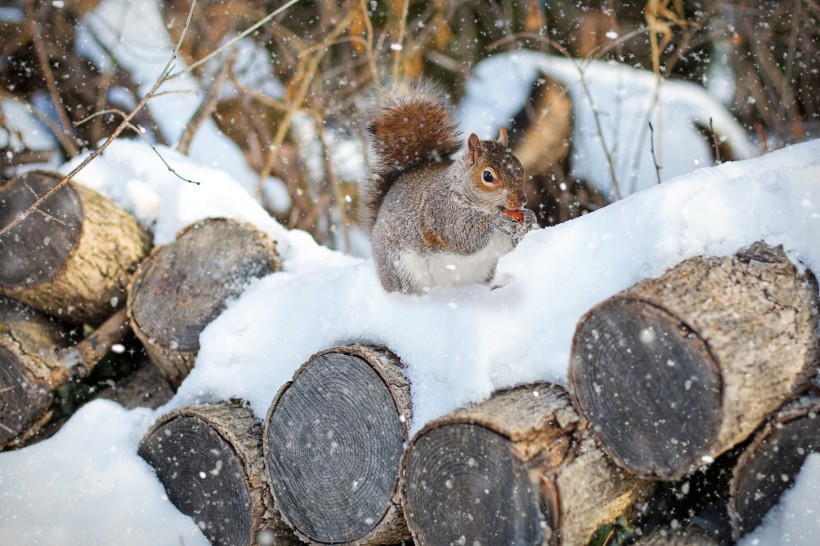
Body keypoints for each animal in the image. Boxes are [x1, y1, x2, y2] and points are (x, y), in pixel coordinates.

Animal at [366, 82, 540, 294]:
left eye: (520, 168)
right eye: (487, 176)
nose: (522, 201)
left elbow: (509, 245)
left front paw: (530, 218)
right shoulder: (441, 210)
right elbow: (461, 234)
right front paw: (496, 220)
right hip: (401, 270)